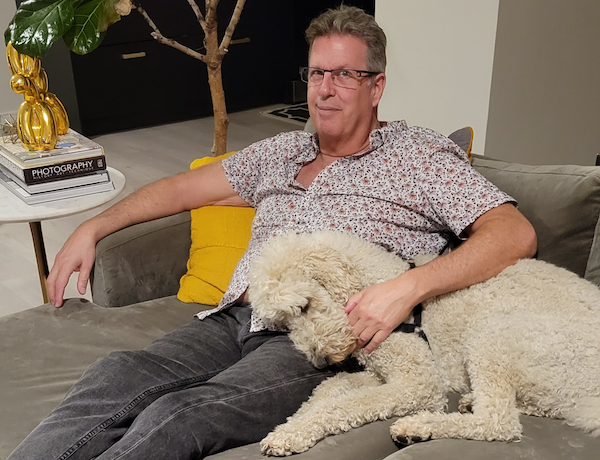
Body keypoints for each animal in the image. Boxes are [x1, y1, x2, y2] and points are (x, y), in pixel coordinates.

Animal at [247, 232, 600, 454]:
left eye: (305, 305)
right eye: (285, 323)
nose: (320, 361)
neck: (375, 283)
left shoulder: (419, 382)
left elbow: (344, 404)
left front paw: (289, 434)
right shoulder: (377, 373)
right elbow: (327, 391)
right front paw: (296, 423)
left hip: (495, 334)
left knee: (499, 422)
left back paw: (419, 426)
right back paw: (469, 402)